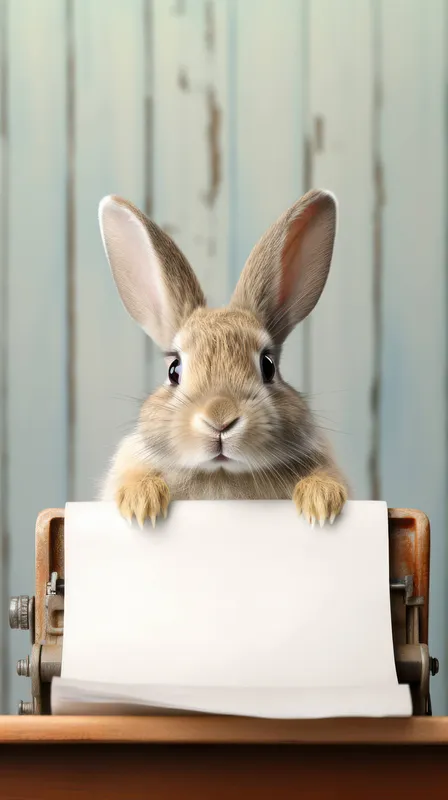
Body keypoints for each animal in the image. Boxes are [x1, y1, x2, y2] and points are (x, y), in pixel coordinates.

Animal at [98, 189, 348, 528]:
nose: (220, 418)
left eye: (268, 366)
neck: (222, 475)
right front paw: (141, 504)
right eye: (174, 370)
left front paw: (321, 502)